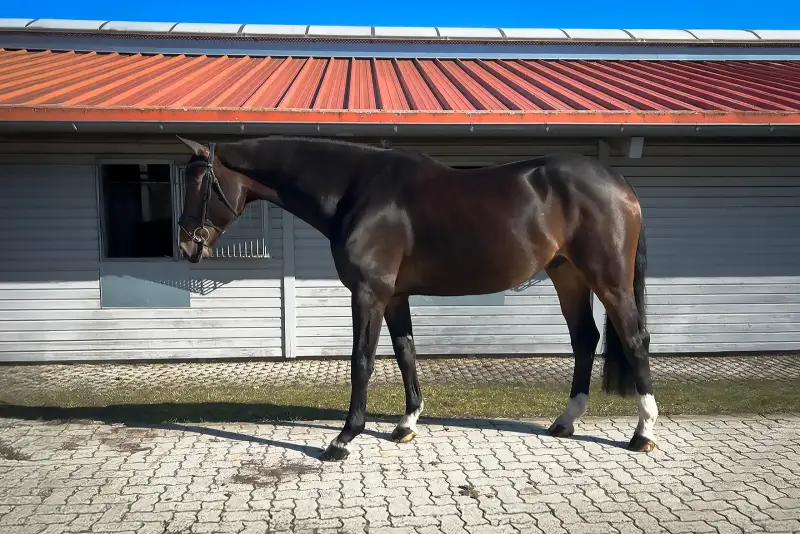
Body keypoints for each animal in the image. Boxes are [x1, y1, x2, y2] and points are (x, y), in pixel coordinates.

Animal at [174, 135, 657, 462]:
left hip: (608, 280)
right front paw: (406, 424)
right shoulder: (394, 296)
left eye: (199, 184)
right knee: (585, 339)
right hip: (568, 275)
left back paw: (643, 433)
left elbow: (362, 361)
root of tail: (619, 183)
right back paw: (565, 422)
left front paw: (343, 438)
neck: (356, 190)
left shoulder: (368, 293)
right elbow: (406, 352)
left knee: (635, 341)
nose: (186, 245)